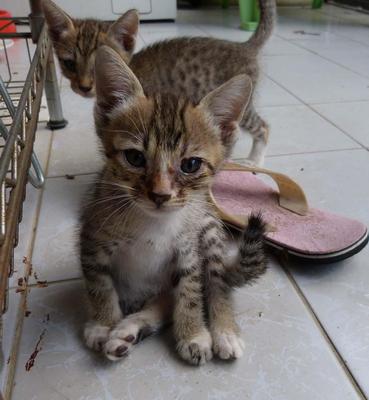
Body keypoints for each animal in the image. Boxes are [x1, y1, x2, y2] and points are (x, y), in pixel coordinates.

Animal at [80, 47, 268, 366]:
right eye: (134, 158)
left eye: (190, 164)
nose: (160, 194)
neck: (153, 223)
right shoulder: (92, 239)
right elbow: (99, 285)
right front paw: (103, 324)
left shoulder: (189, 252)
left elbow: (190, 292)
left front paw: (193, 333)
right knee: (164, 303)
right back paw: (126, 331)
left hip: (209, 232)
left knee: (216, 283)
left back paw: (224, 330)